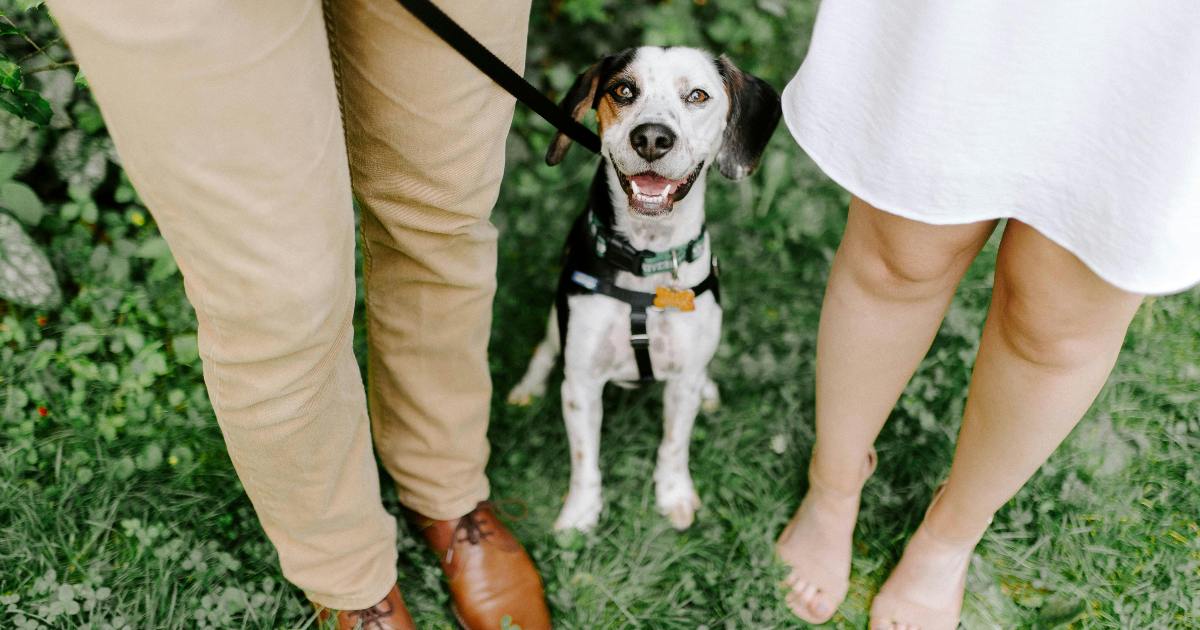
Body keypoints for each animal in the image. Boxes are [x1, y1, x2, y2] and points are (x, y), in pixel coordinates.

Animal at [504, 45, 777, 530]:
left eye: (697, 95)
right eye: (623, 91)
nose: (651, 137)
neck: (646, 257)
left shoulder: (682, 381)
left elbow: (674, 445)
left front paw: (674, 495)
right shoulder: (581, 384)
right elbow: (585, 460)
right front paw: (580, 516)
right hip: (558, 327)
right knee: (544, 349)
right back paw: (527, 387)